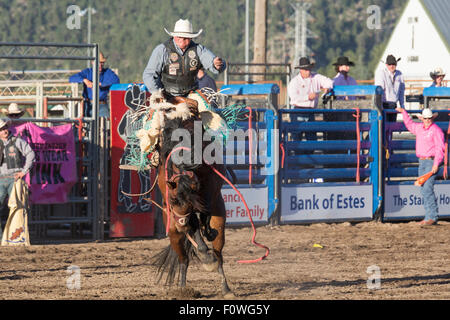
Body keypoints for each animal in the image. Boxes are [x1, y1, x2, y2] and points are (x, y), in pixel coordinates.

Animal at [152, 112, 236, 298]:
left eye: (189, 202)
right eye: (172, 200)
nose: (181, 225)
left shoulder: (208, 197)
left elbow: (202, 216)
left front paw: (207, 253)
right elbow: (194, 225)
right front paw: (204, 253)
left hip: (219, 222)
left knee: (218, 255)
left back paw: (225, 287)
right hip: (173, 232)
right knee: (184, 260)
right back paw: (183, 288)